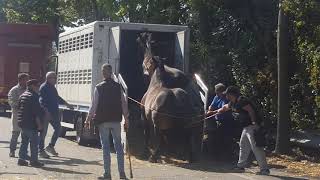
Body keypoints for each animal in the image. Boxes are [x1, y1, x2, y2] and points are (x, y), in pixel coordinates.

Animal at [138, 32, 202, 163]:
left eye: (145, 64)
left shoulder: (144, 118)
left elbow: (147, 135)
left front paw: (145, 153)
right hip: (185, 125)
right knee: (187, 137)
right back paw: (189, 156)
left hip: (159, 125)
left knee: (160, 139)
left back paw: (154, 157)